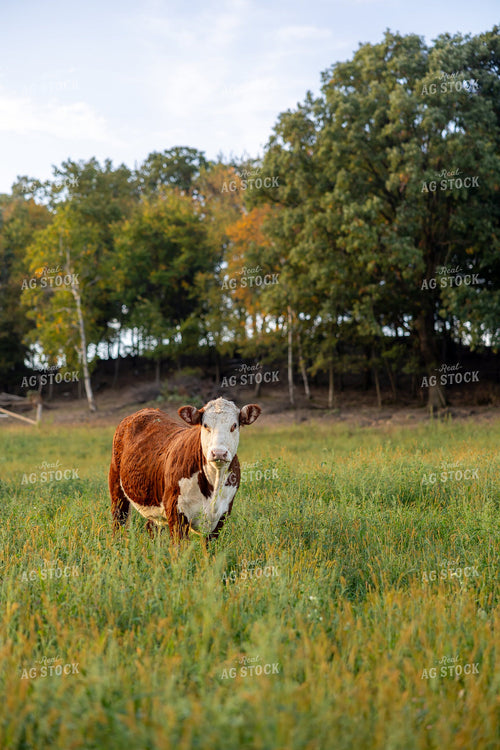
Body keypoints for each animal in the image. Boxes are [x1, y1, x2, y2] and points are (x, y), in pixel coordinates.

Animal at [109, 397, 261, 540]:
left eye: (234, 425)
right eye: (205, 425)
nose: (218, 453)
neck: (214, 483)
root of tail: (145, 410)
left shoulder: (222, 515)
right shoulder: (176, 510)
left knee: (151, 527)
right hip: (117, 489)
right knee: (119, 522)